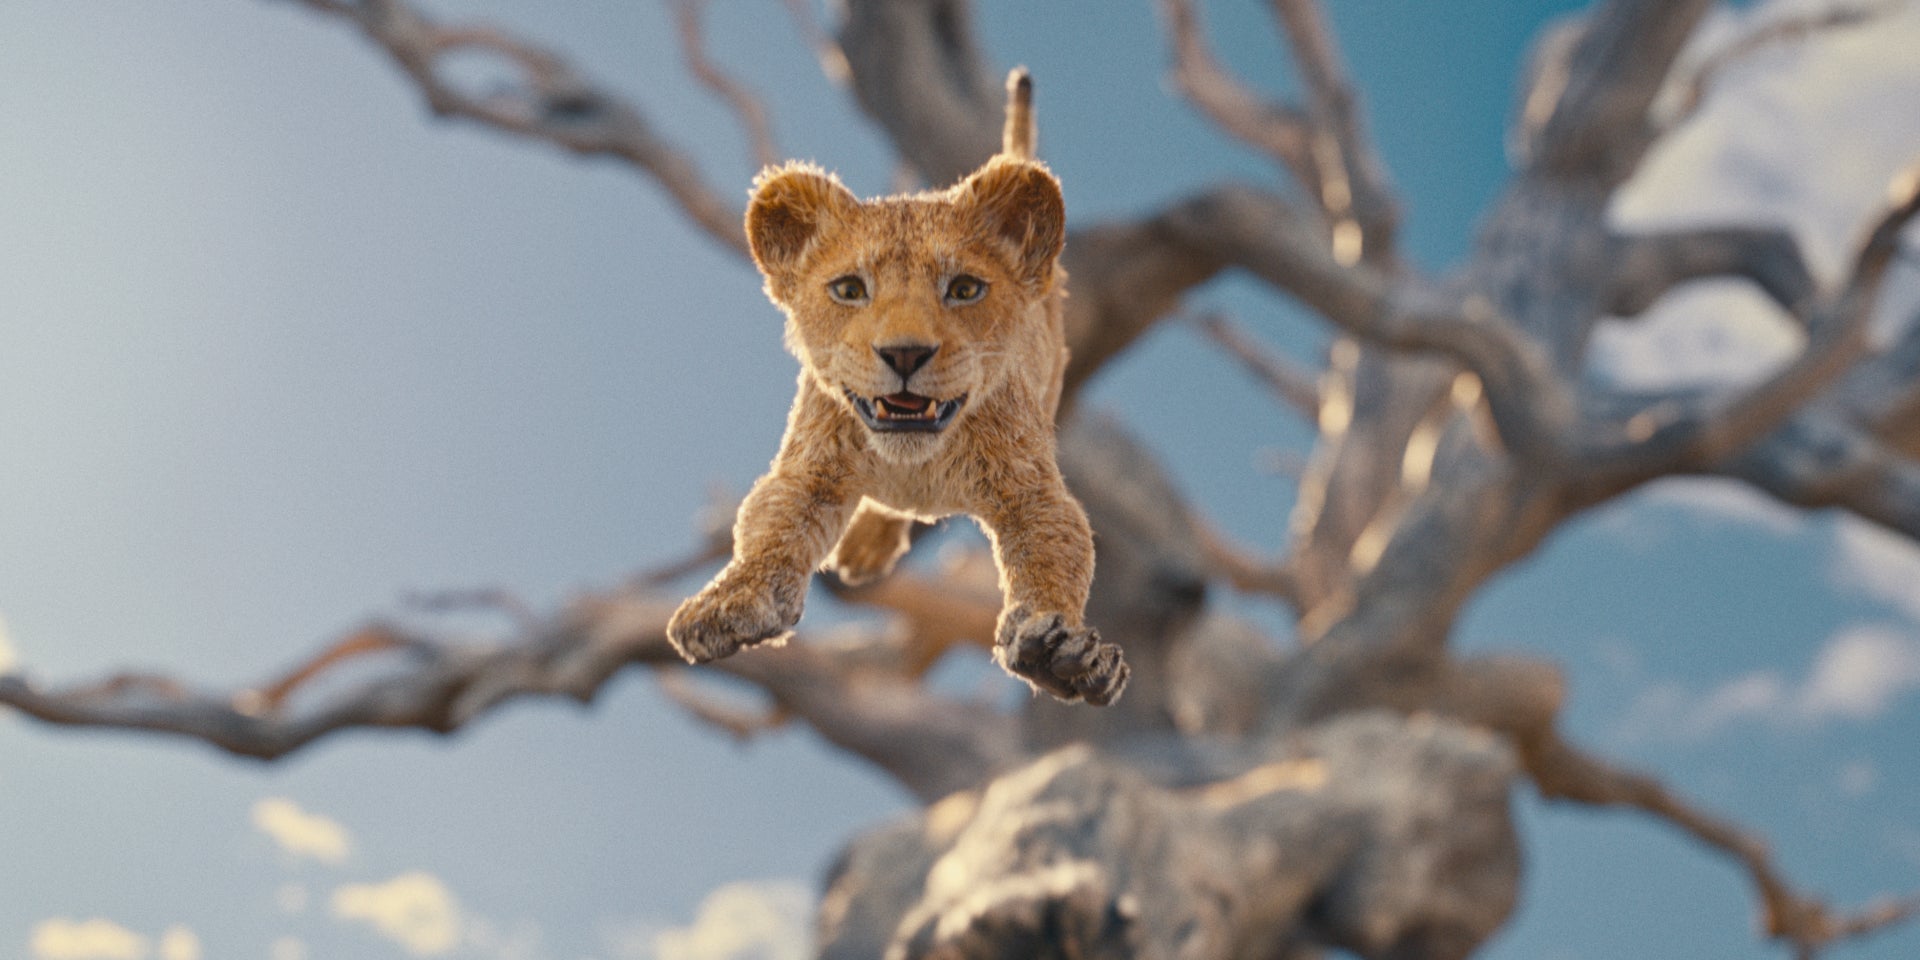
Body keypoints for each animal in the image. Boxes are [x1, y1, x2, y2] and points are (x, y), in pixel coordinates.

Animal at [666, 69, 1128, 705]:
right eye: (848, 289)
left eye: (964, 289)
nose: (905, 353)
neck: (915, 462)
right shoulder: (809, 469)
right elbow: (769, 529)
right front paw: (728, 602)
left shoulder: (1031, 490)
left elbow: (1056, 552)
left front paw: (1059, 651)